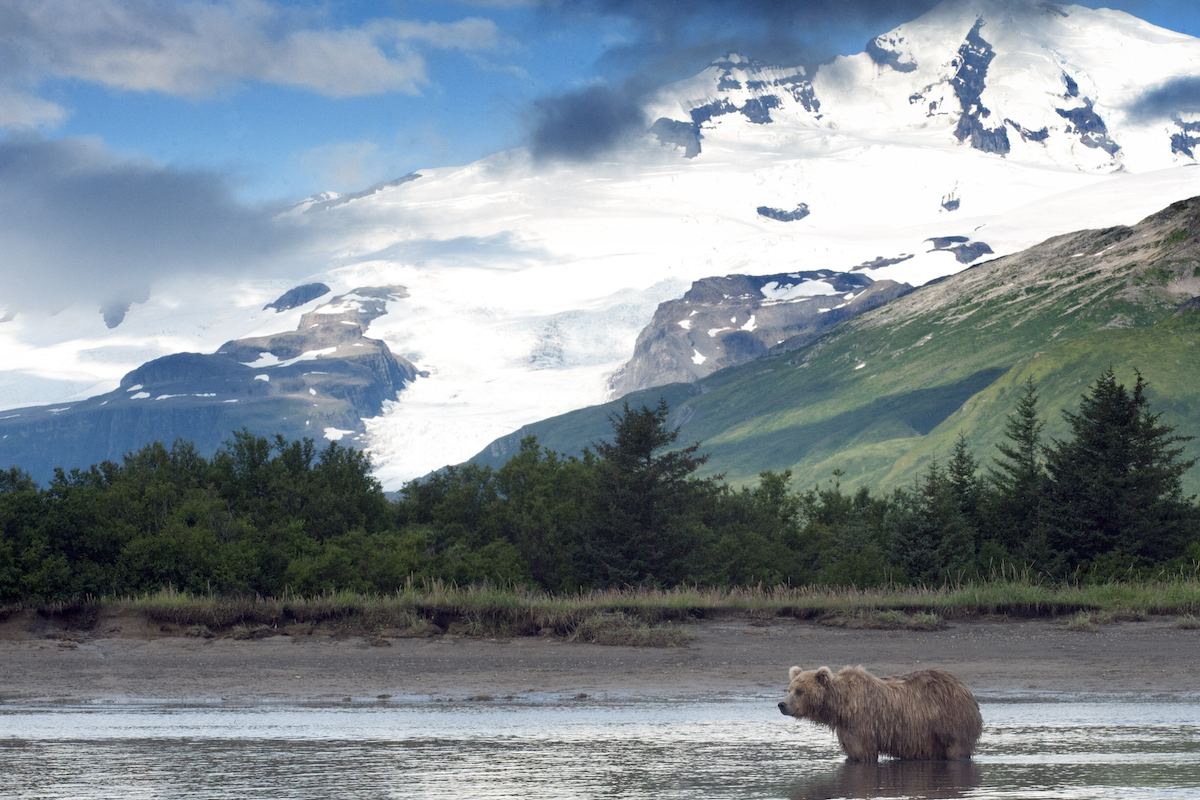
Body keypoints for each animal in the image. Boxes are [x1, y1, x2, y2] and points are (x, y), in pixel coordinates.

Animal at [777, 662, 984, 762]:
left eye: (800, 691)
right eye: (789, 689)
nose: (782, 704)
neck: (840, 706)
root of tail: (964, 688)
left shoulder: (861, 723)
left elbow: (862, 752)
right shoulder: (846, 727)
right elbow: (852, 751)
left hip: (951, 721)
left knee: (957, 750)